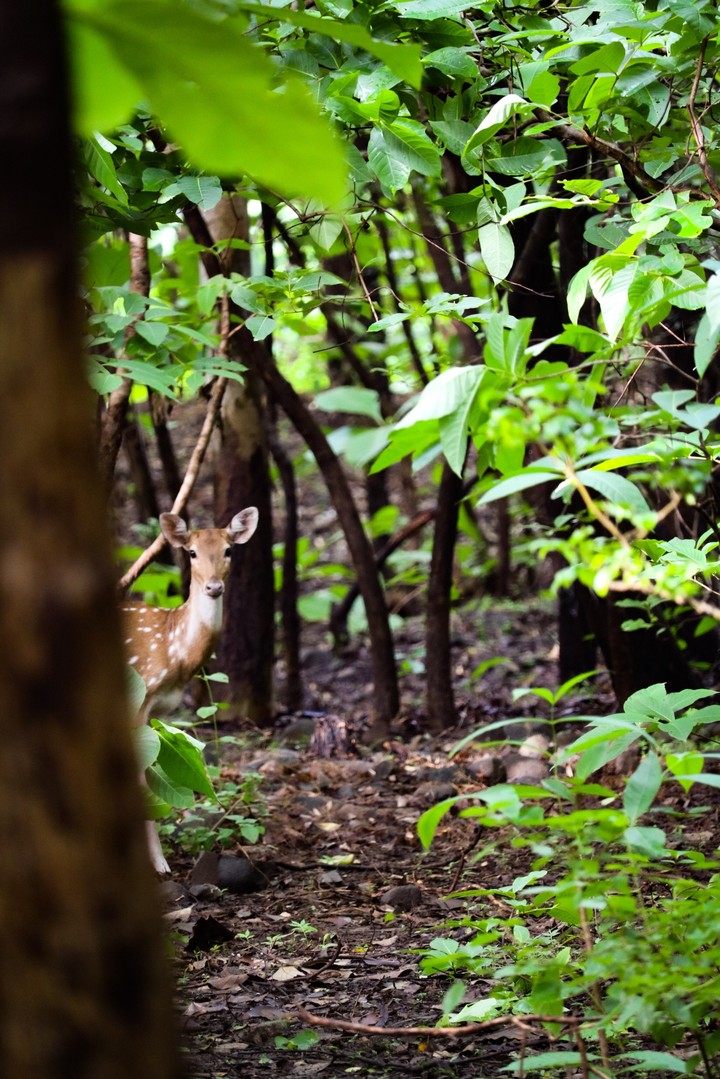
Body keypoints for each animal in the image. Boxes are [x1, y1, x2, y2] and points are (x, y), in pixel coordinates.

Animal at [122, 507, 259, 873]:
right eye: (192, 553)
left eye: (229, 549)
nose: (213, 586)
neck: (175, 654)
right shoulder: (139, 698)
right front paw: (159, 866)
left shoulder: (158, 711)